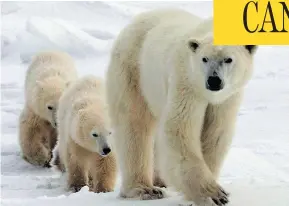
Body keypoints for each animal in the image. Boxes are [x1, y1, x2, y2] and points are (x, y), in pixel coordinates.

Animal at [105, 8, 256, 205]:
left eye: (228, 59)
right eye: (204, 59)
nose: (213, 80)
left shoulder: (227, 98)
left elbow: (215, 133)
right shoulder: (186, 83)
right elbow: (179, 129)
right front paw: (213, 194)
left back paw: (160, 181)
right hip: (133, 70)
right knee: (134, 123)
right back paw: (144, 189)